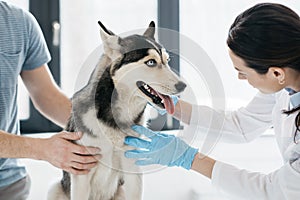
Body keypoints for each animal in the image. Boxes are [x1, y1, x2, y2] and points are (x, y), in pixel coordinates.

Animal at [47, 21, 185, 199]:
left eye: (167, 61)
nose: (183, 86)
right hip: (54, 188)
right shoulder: (82, 172)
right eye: (151, 62)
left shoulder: (132, 169)